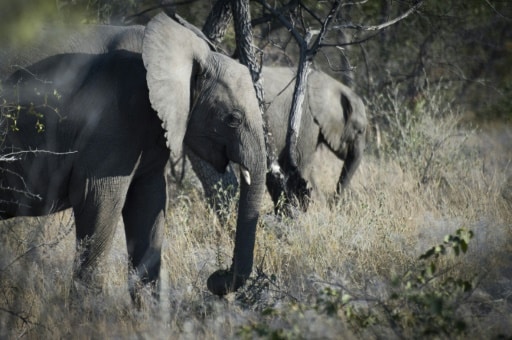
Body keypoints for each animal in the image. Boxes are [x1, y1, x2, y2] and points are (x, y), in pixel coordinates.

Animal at [0, 14, 264, 298]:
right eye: (233, 119)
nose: (216, 277)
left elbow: (148, 200)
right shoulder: (112, 117)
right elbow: (98, 197)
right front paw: (86, 310)